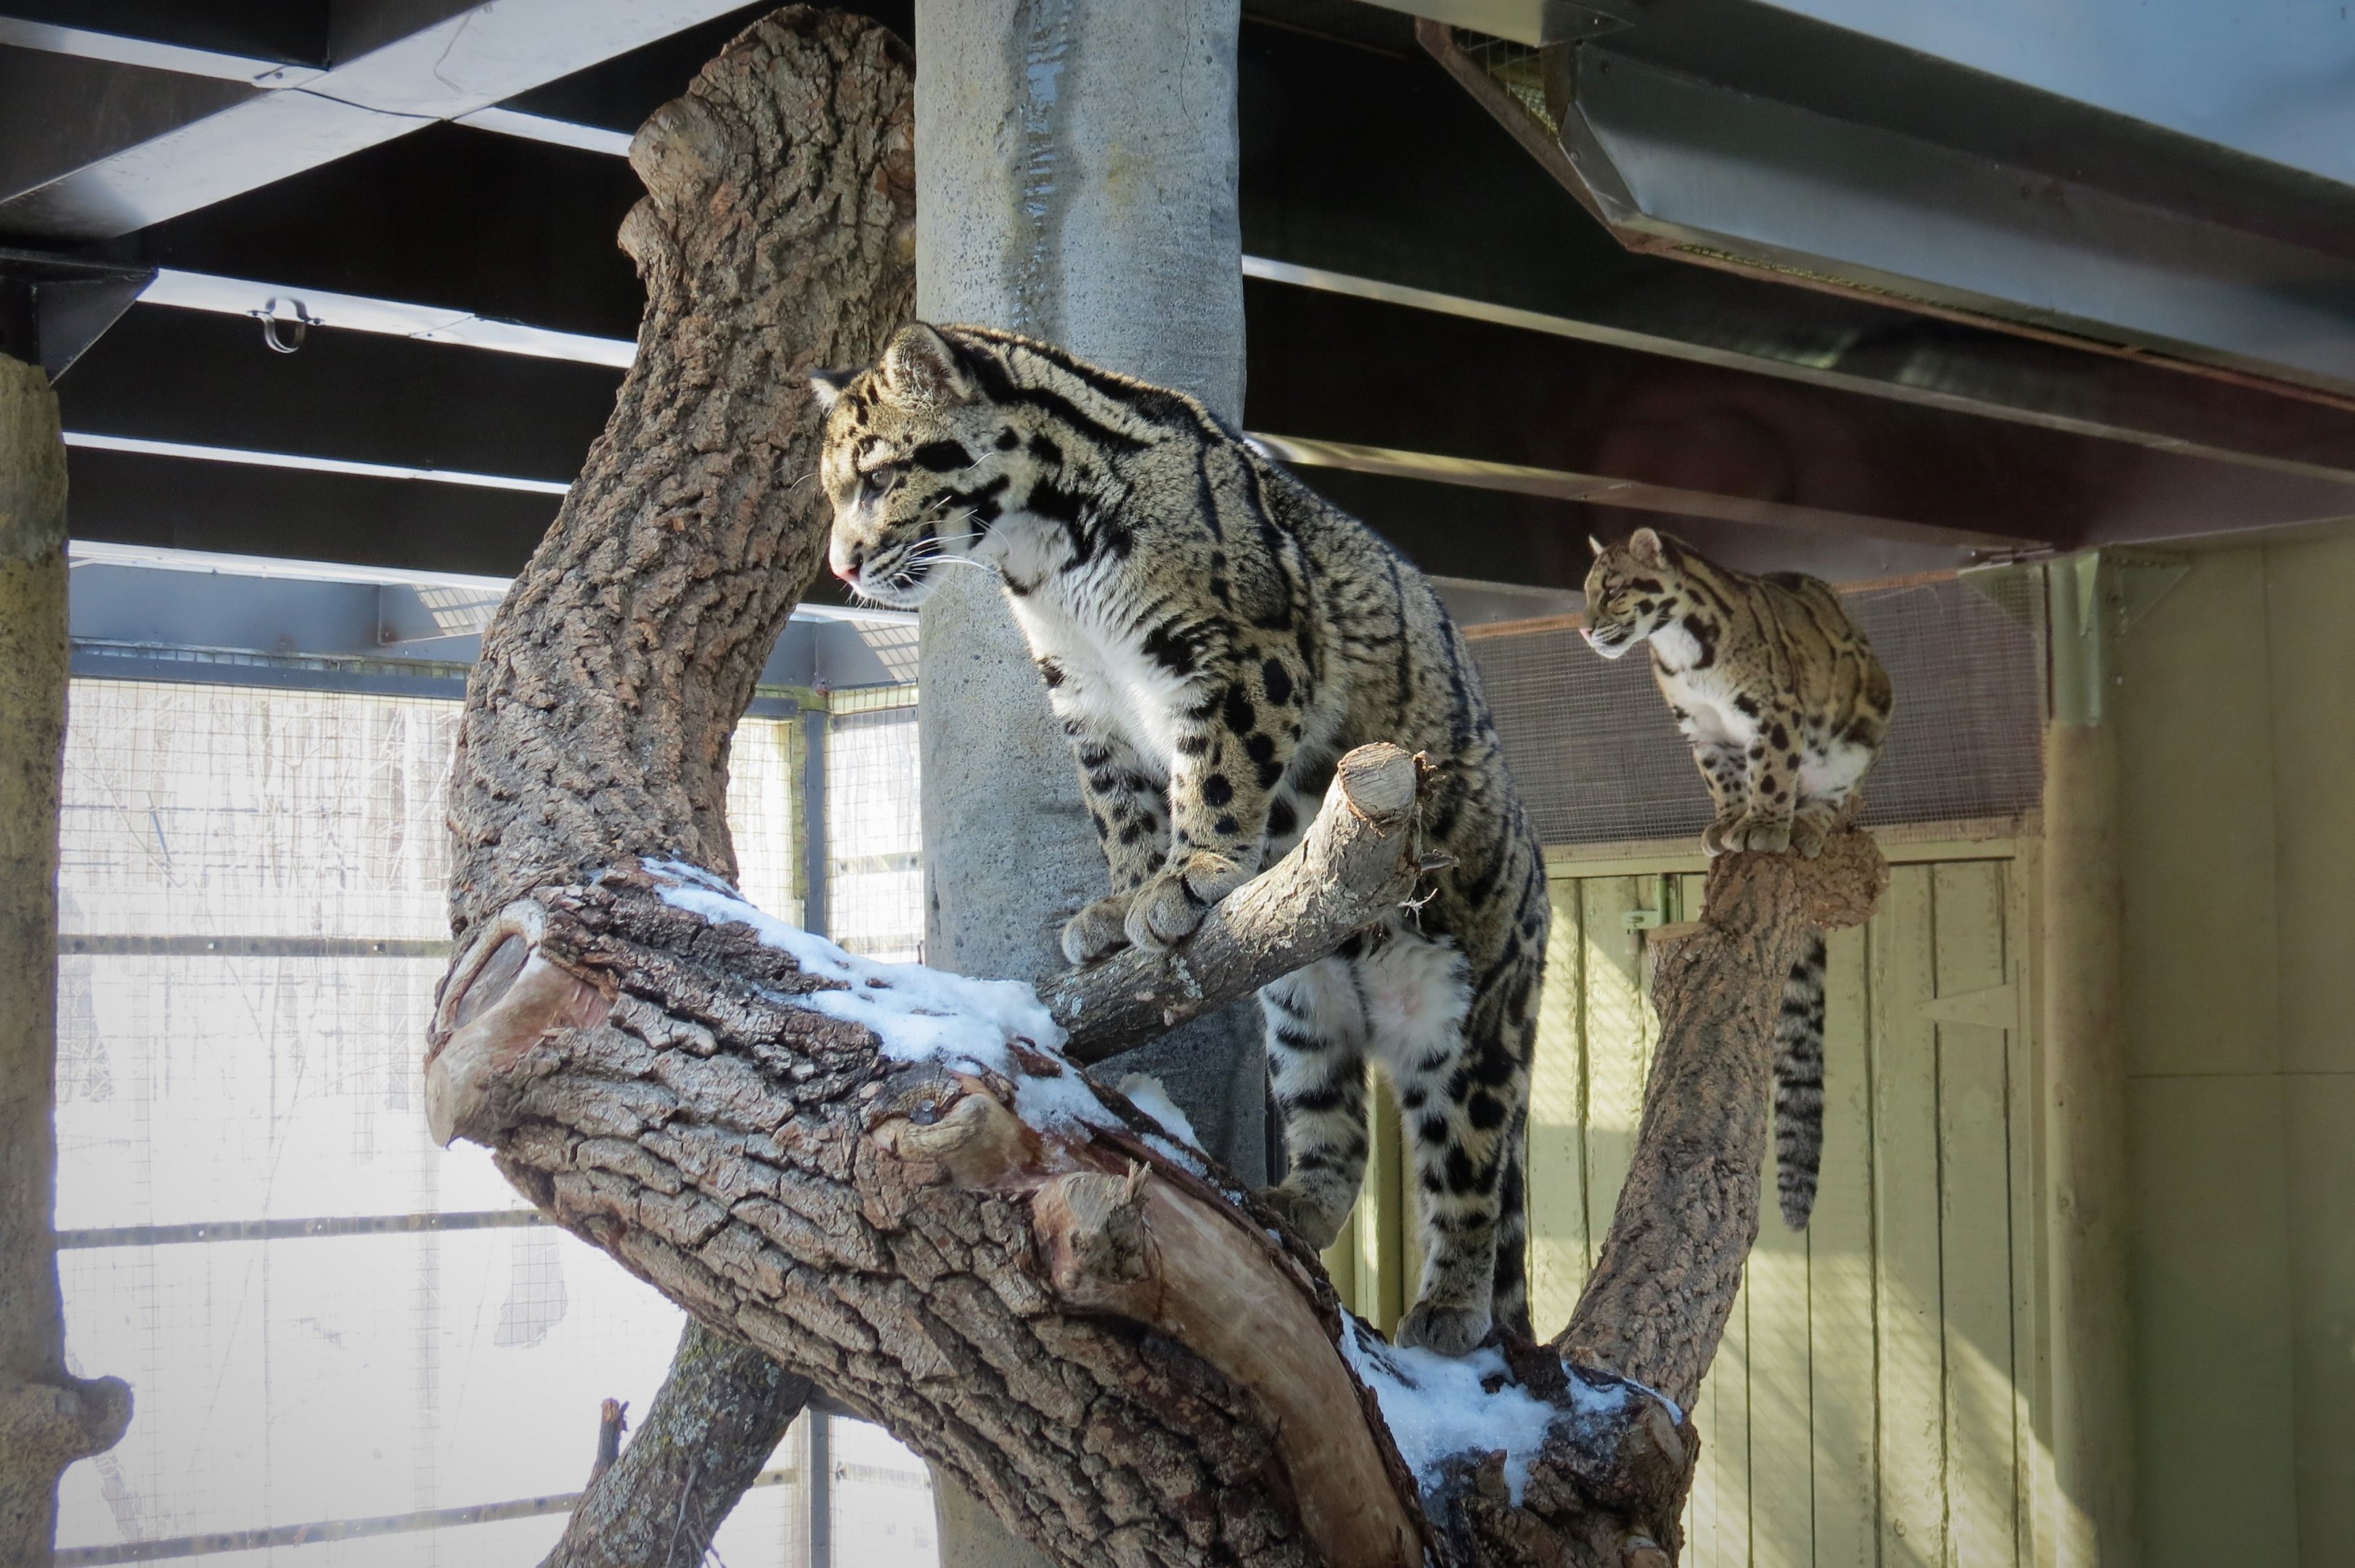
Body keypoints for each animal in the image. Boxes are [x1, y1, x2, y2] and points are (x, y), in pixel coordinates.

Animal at [812, 322, 1550, 1353]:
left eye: (878, 477)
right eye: (833, 490)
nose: (840, 567)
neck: (1042, 561)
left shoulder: (1239, 654)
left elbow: (1219, 772)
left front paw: (1192, 871)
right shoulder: (1086, 699)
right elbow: (1121, 808)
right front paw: (1123, 900)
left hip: (1473, 1020)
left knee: (1471, 1167)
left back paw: (1449, 1307)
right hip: (1302, 1014)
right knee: (1338, 1128)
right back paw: (1287, 1206)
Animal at [1582, 526, 1892, 1229]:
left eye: (1612, 589)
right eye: (1586, 592)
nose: (1585, 627)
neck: (1680, 653)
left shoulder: (1773, 711)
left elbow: (1772, 771)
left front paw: (1767, 825)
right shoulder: (1702, 729)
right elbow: (1724, 779)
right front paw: (1728, 824)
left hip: (1864, 723)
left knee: (1835, 793)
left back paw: (1808, 825)